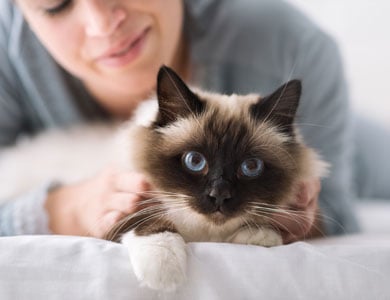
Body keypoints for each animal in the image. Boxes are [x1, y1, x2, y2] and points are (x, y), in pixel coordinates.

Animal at [102, 65, 328, 290]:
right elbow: (150, 221)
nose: (219, 194)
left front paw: (259, 236)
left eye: (251, 166)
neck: (207, 235)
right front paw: (164, 274)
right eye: (195, 161)